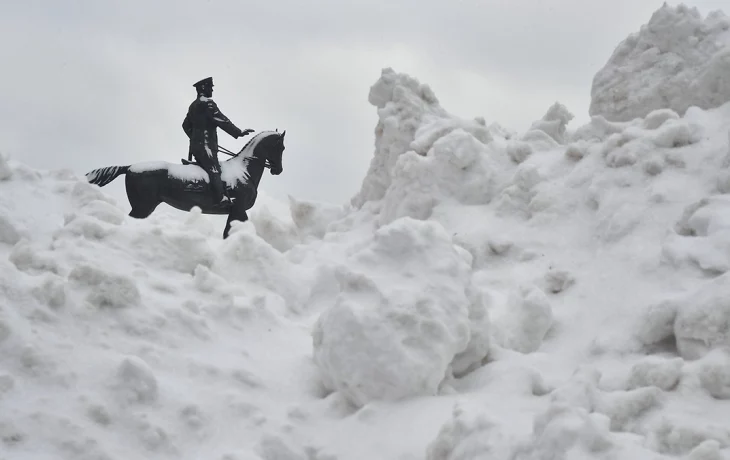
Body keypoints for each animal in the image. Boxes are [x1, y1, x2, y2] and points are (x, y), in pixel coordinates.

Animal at [86, 129, 286, 237]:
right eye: (281, 147)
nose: (278, 170)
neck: (243, 170)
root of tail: (129, 167)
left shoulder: (236, 211)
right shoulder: (238, 209)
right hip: (142, 206)